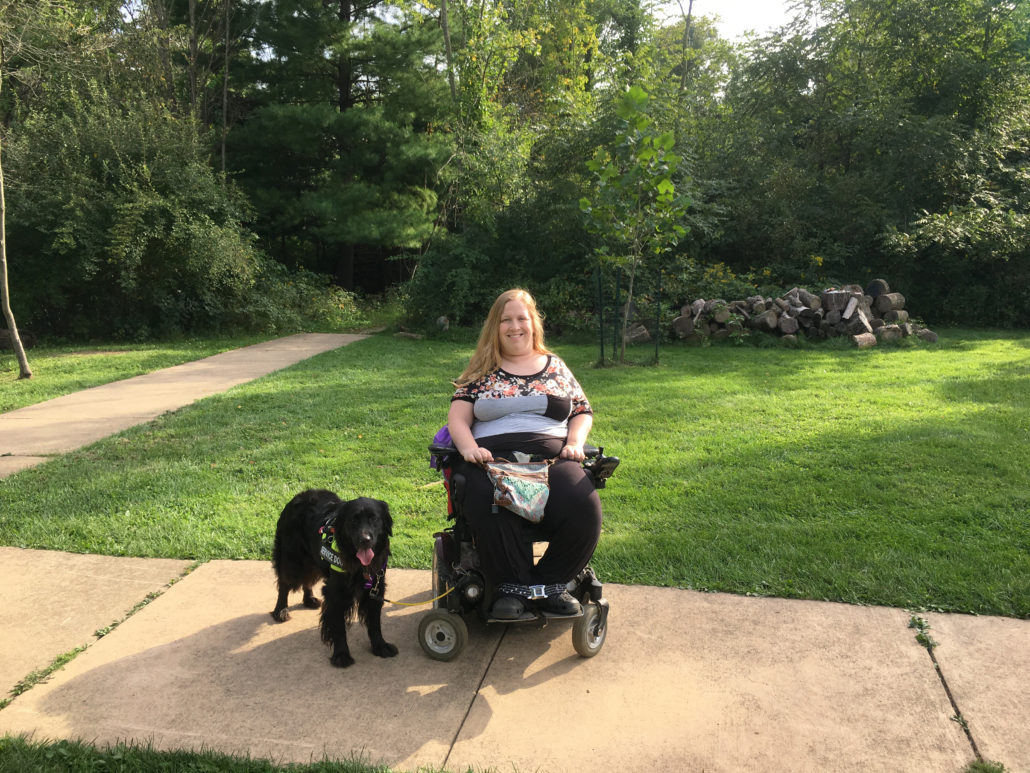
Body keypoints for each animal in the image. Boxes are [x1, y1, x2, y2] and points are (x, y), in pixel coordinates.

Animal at [269, 492, 397, 667]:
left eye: (374, 519)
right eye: (353, 520)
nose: (365, 540)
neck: (358, 564)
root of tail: (300, 495)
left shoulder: (376, 587)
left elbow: (375, 622)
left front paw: (380, 646)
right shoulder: (336, 593)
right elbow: (338, 627)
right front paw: (341, 654)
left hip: (313, 560)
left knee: (307, 579)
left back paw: (309, 600)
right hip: (292, 558)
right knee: (284, 583)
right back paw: (281, 610)